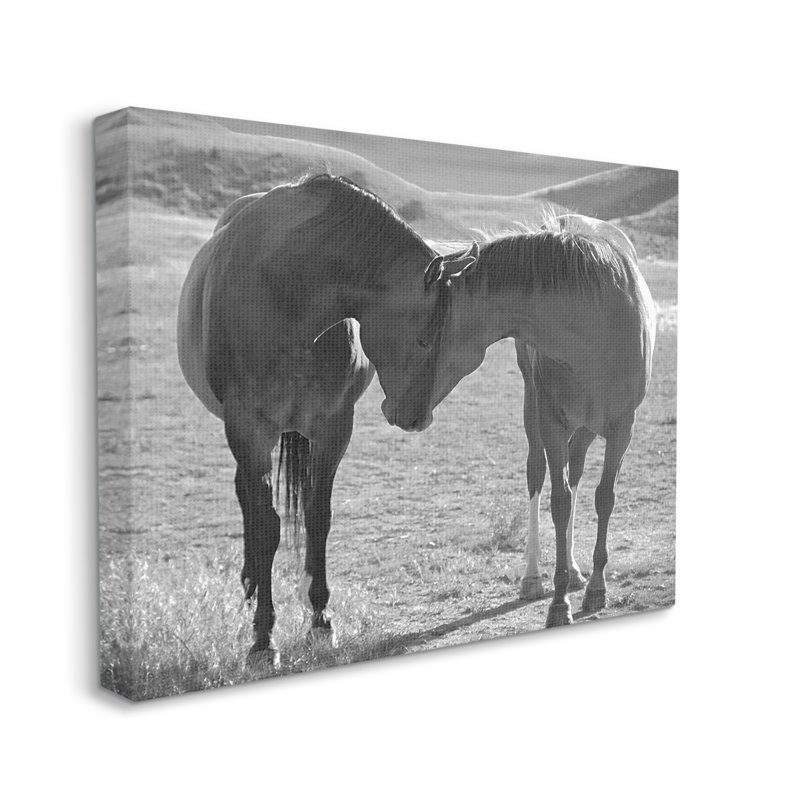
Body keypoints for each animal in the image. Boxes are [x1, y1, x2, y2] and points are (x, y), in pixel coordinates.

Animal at [177, 174, 443, 665]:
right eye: (423, 339)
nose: (416, 417)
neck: (287, 292)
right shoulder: (247, 427)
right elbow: (267, 527)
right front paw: (263, 638)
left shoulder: (334, 426)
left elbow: (319, 517)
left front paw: (320, 620)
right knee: (248, 498)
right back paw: (250, 582)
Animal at [387, 215, 657, 627]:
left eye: (422, 338)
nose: (393, 409)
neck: (594, 325)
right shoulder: (551, 422)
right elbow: (558, 502)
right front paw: (558, 602)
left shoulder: (622, 427)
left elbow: (603, 498)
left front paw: (596, 588)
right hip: (536, 411)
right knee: (537, 474)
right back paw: (533, 577)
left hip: (587, 427)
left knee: (576, 472)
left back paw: (575, 571)